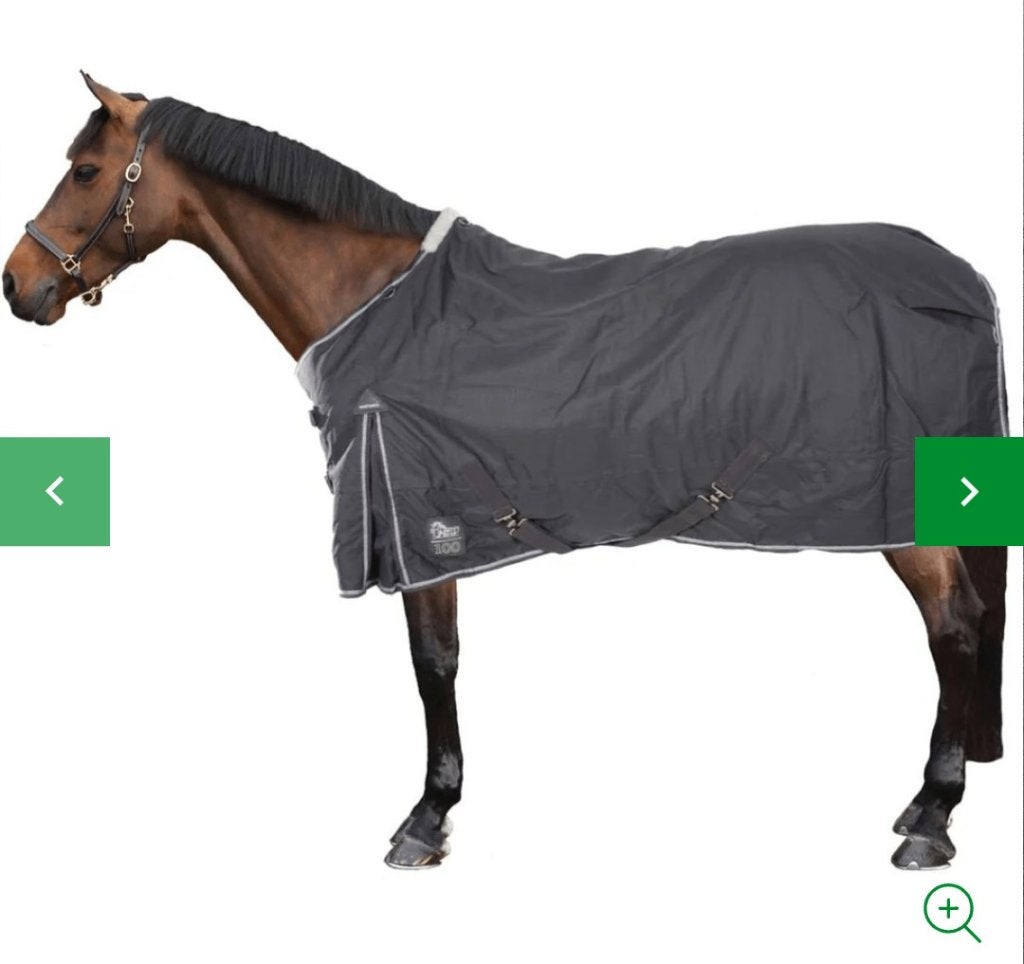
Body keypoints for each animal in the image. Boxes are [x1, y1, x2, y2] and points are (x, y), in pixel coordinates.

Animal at [3, 74, 1007, 871]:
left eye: (85, 171)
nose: (18, 286)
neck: (379, 303)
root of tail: (960, 277)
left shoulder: (417, 521)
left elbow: (433, 663)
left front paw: (426, 818)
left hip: (901, 513)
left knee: (955, 624)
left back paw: (931, 819)